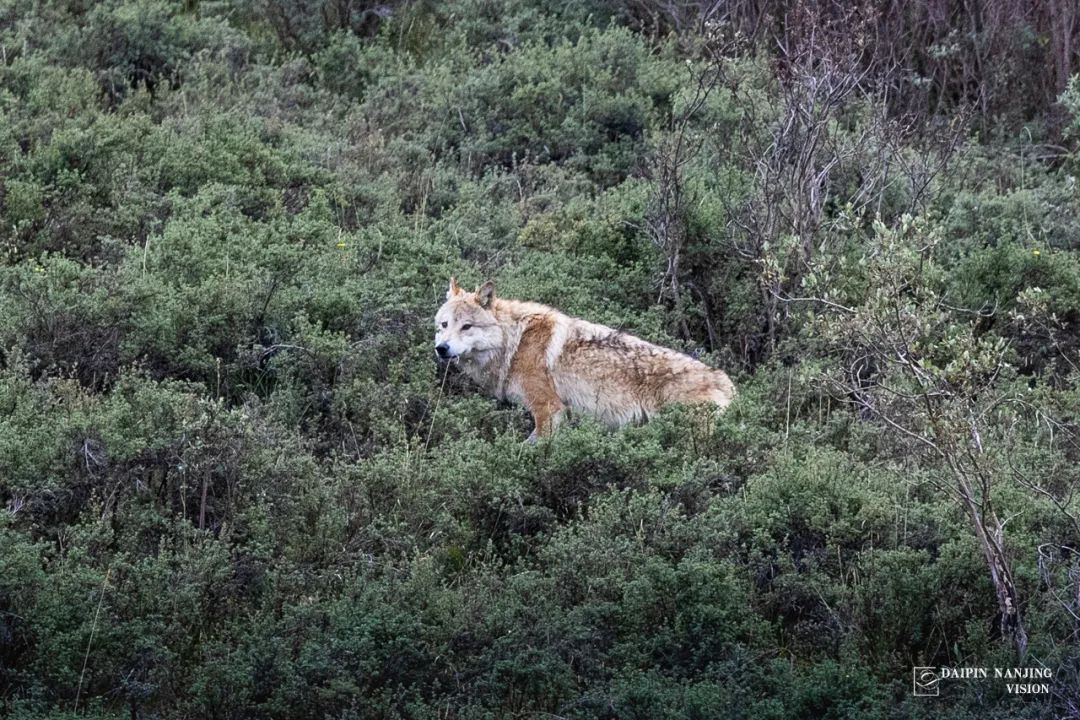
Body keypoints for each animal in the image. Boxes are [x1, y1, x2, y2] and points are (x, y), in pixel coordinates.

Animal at [432, 278, 734, 442]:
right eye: (444, 325)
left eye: (466, 327)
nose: (441, 348)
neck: (513, 343)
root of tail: (727, 382)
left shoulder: (549, 411)